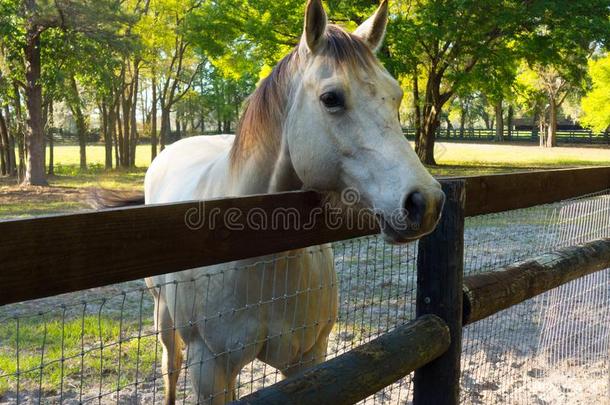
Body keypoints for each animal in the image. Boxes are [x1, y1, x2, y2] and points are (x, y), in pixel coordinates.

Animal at [101, 1, 442, 402]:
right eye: (331, 98)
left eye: (396, 95)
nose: (425, 202)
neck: (258, 257)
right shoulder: (209, 368)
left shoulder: (308, 358)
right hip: (164, 315)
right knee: (170, 363)